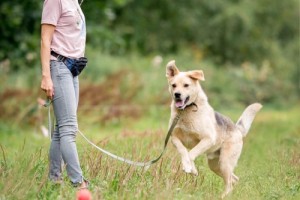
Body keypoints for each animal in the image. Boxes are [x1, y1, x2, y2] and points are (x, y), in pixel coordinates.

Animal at [165, 60, 262, 198]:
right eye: (173, 85)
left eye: (186, 85)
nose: (177, 95)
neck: (186, 112)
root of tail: (237, 129)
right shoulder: (174, 138)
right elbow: (184, 151)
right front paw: (191, 168)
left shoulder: (208, 139)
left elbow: (191, 153)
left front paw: (190, 167)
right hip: (215, 165)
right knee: (234, 179)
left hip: (224, 162)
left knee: (229, 182)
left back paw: (223, 196)